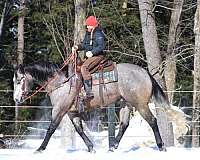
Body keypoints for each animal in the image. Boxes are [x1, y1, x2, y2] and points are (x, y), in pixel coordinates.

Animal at [12, 61, 188, 152]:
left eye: (19, 80)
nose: (16, 99)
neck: (62, 84)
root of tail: (145, 73)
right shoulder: (71, 113)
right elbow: (79, 130)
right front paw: (91, 147)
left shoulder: (59, 111)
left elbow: (51, 128)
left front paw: (40, 148)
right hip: (126, 104)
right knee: (124, 124)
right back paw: (113, 147)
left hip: (140, 104)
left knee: (152, 121)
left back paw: (161, 146)